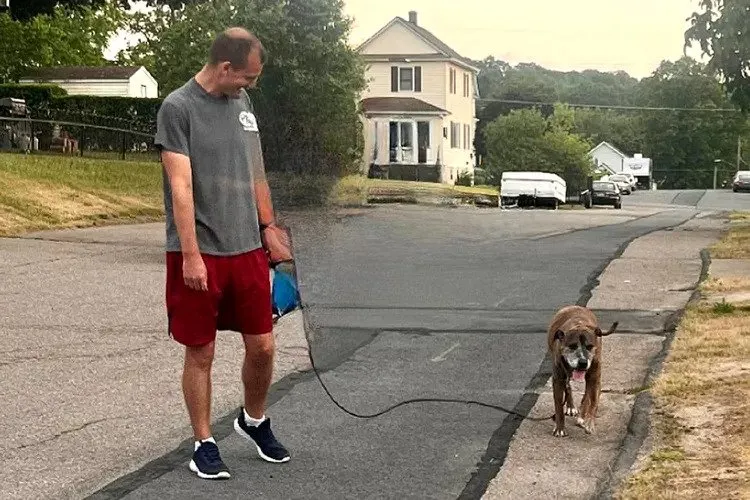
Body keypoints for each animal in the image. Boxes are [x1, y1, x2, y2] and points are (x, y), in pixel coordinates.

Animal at [548, 302, 620, 436]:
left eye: (590, 346)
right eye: (572, 346)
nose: (582, 362)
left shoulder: (595, 378)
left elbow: (593, 401)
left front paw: (589, 422)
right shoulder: (558, 379)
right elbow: (558, 405)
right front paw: (560, 428)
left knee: (586, 393)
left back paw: (582, 416)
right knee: (568, 387)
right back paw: (571, 406)